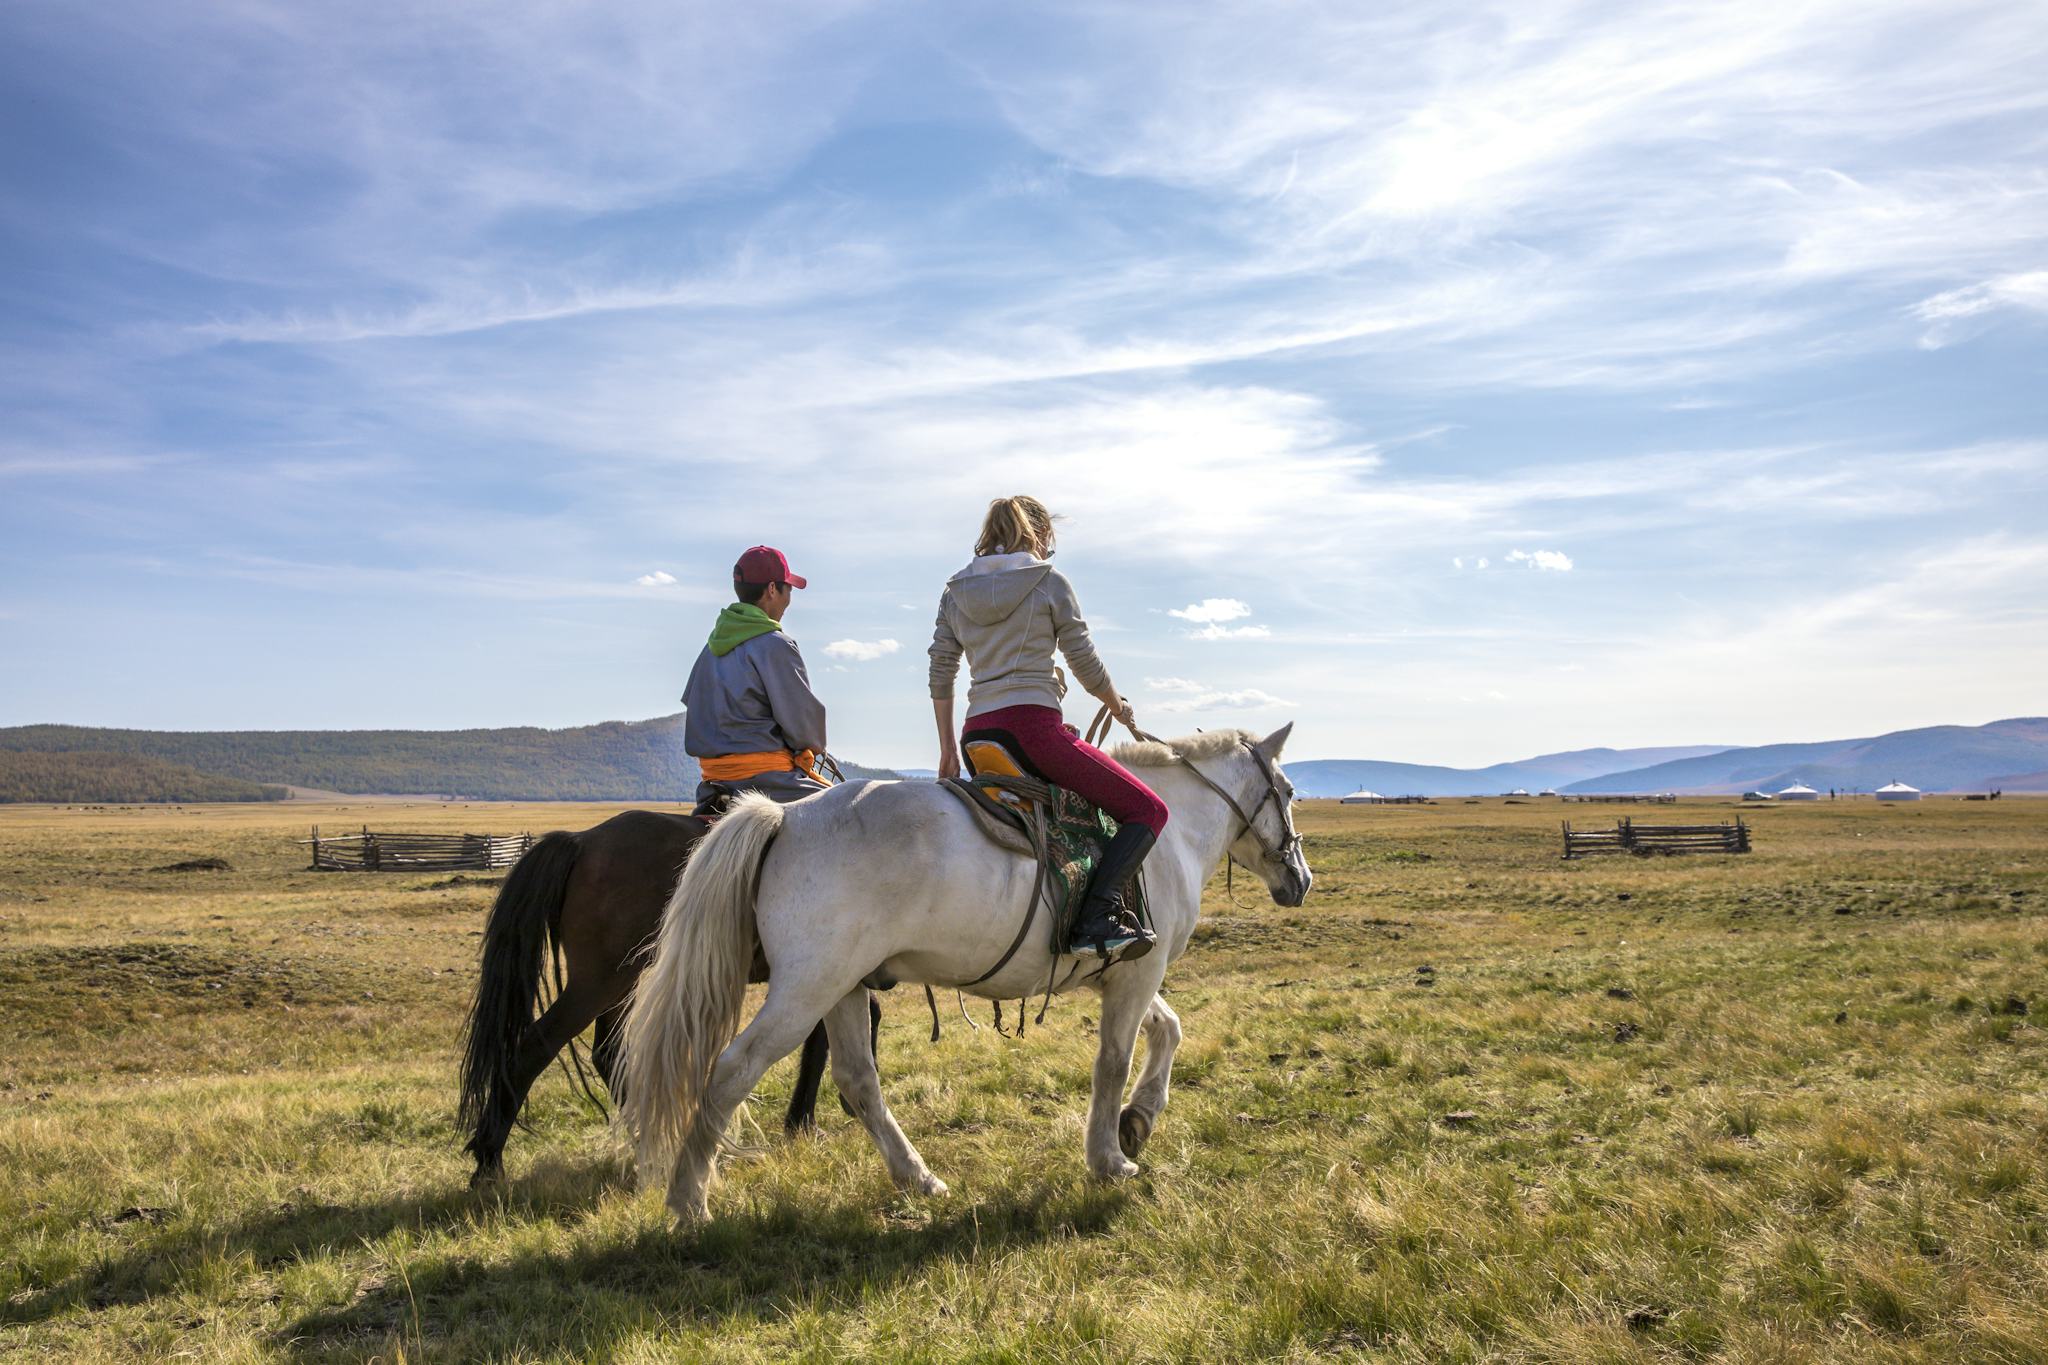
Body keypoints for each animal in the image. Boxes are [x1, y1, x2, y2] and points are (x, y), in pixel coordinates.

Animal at [456, 810, 872, 1186]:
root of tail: (581, 841)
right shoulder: (826, 969)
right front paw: (813, 1118)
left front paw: (810, 1117)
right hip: (597, 983)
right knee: (535, 1048)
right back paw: (489, 1163)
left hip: (620, 983)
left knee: (607, 1054)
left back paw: (651, 1139)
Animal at [614, 720, 1310, 1219]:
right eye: (1290, 793)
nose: (1300, 880)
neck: (1171, 833)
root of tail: (785, 817)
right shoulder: (1138, 973)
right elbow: (1113, 1061)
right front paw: (1110, 1158)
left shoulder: (1127, 969)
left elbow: (1168, 1030)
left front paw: (1137, 1123)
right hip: (804, 991)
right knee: (732, 1070)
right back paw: (688, 1201)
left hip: (842, 987)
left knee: (858, 1081)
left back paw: (919, 1178)